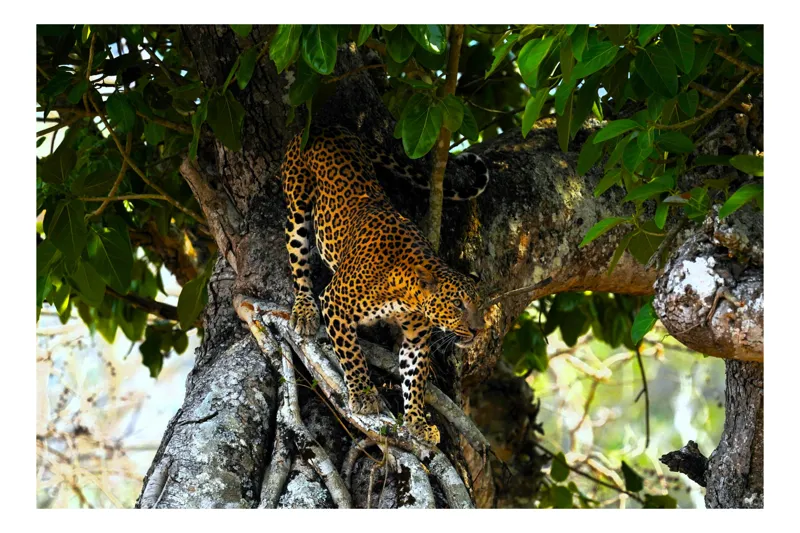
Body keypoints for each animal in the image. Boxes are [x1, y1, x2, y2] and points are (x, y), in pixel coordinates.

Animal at [281, 125, 488, 444]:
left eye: (480, 305)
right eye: (457, 304)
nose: (479, 330)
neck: (405, 292)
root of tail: (328, 126)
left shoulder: (416, 338)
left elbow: (414, 379)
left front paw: (417, 422)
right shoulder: (335, 303)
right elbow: (352, 354)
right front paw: (363, 396)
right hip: (297, 202)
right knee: (298, 259)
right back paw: (304, 311)